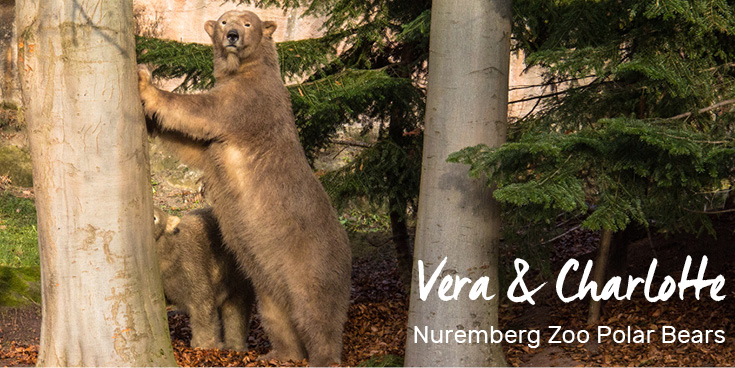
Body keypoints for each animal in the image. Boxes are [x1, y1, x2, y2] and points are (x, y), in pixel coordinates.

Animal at [142, 10, 356, 366]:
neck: (247, 68)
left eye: (247, 23)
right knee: (276, 314)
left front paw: (144, 83)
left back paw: (321, 356)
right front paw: (149, 120)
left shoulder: (250, 100)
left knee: (316, 312)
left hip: (313, 261)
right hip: (268, 280)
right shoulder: (216, 140)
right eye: (224, 20)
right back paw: (280, 353)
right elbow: (191, 144)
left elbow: (203, 112)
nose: (231, 35)